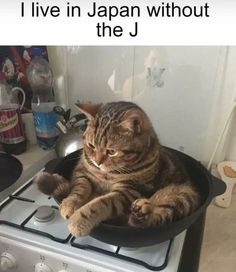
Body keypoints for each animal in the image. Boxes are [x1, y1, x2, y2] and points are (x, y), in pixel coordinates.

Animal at [36, 101, 200, 237]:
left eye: (111, 151)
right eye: (91, 146)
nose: (97, 162)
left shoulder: (128, 191)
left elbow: (99, 204)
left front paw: (78, 221)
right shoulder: (83, 173)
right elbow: (78, 189)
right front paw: (69, 204)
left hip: (184, 196)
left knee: (150, 220)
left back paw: (140, 213)